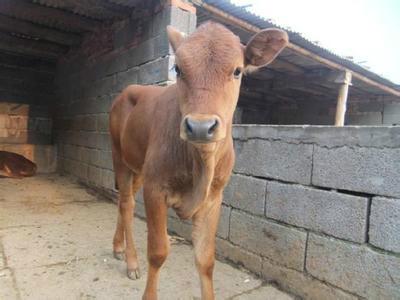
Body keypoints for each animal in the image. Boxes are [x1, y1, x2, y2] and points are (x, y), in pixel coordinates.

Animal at [108, 22, 286, 298]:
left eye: (237, 71)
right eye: (178, 69)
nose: (201, 126)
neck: (201, 165)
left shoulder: (213, 198)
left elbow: (205, 260)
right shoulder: (156, 188)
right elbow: (158, 253)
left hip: (138, 169)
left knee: (123, 201)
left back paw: (118, 247)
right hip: (119, 157)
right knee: (126, 205)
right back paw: (132, 261)